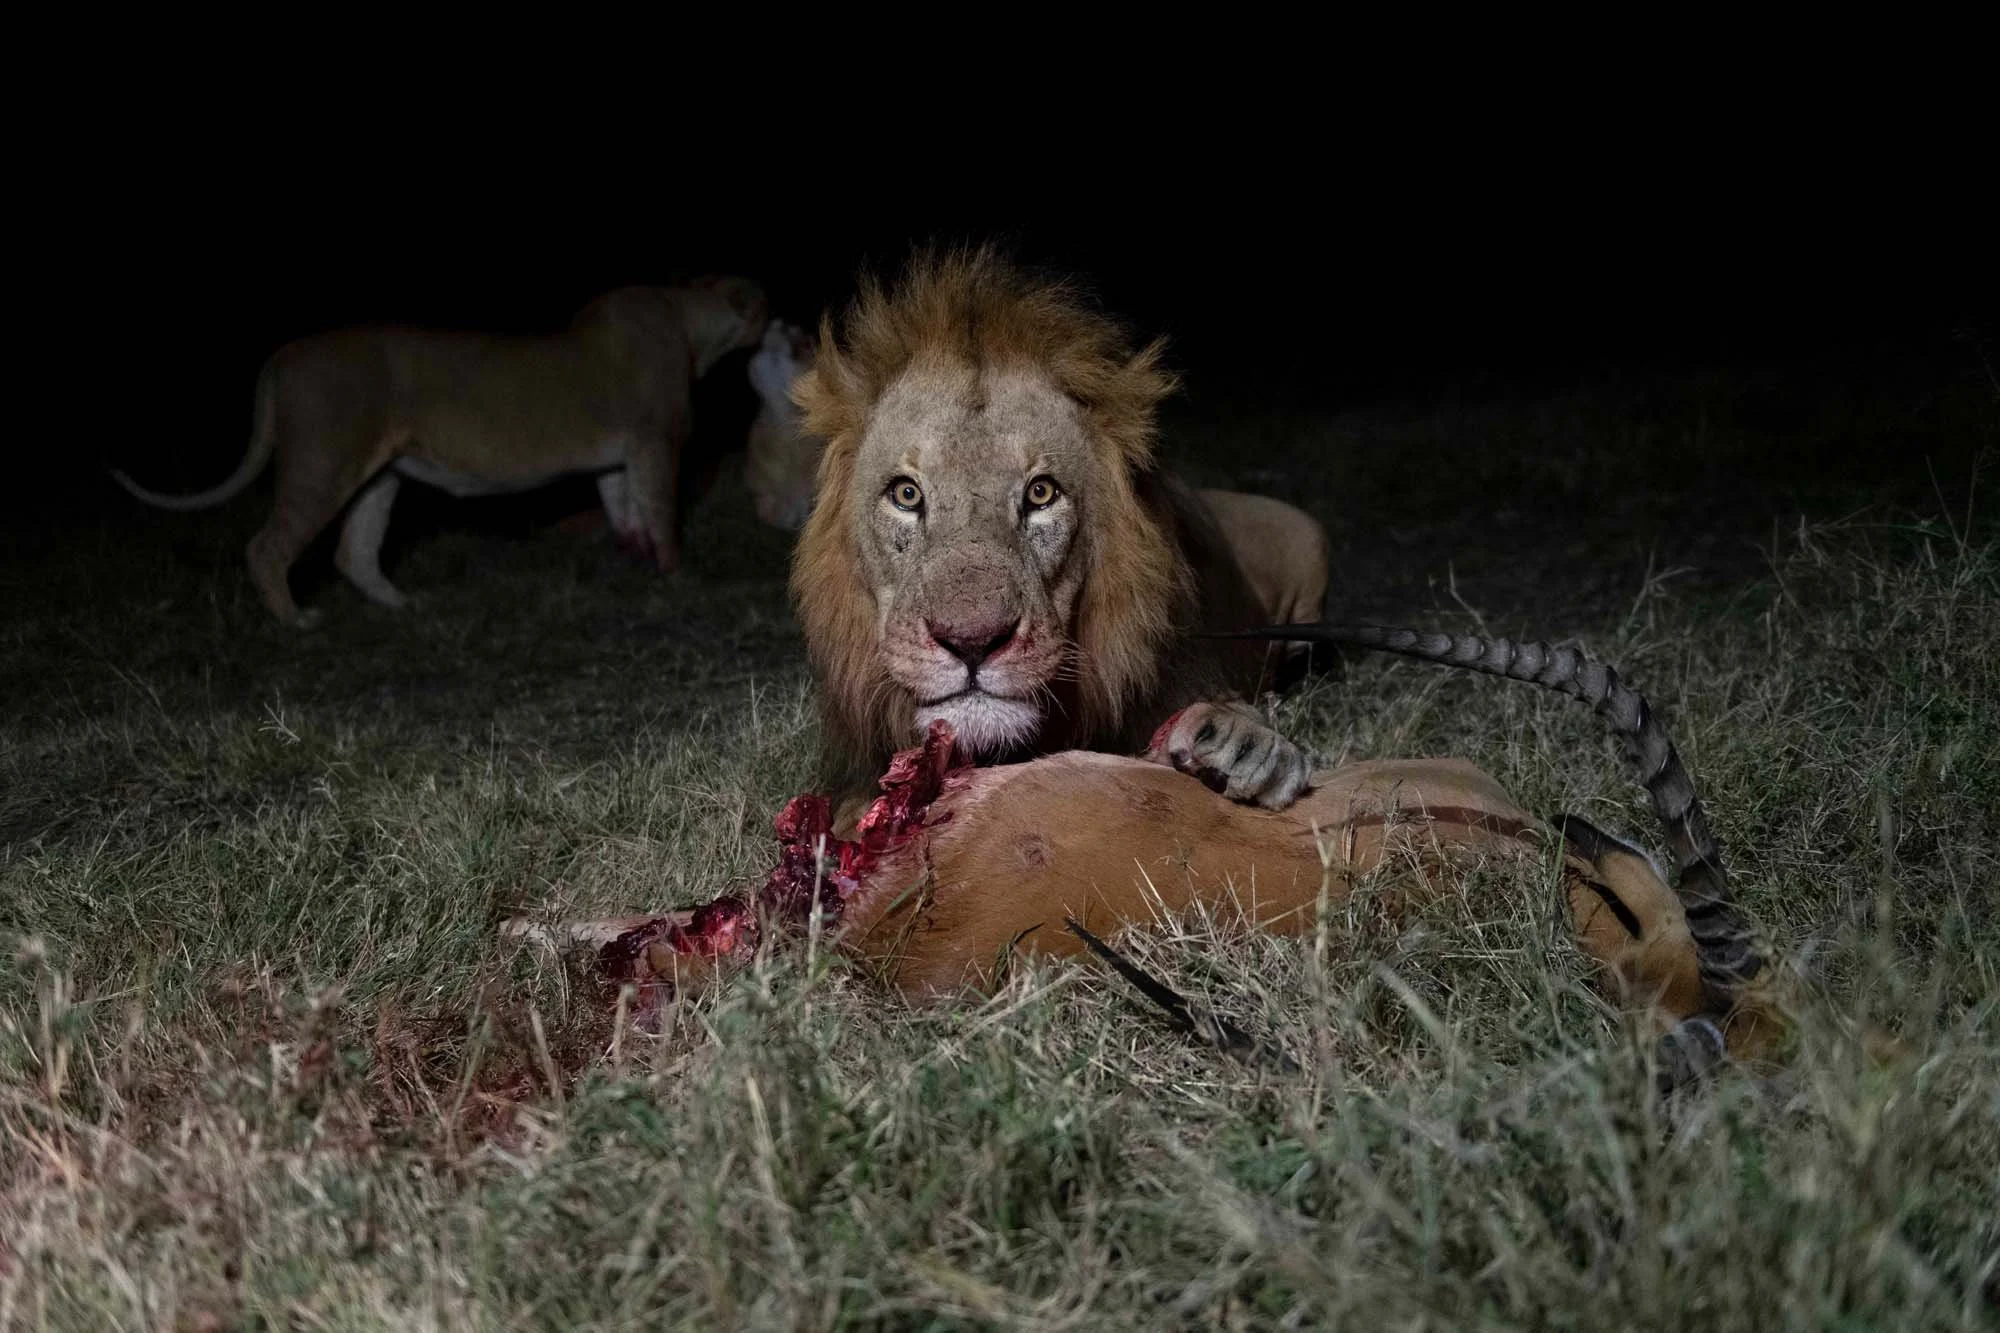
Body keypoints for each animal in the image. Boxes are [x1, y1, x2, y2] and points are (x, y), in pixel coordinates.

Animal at [112, 277, 769, 625]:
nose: (778, 310)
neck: (684, 313)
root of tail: (280, 358)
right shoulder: (656, 439)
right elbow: (660, 509)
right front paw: (678, 574)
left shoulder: (618, 456)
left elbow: (623, 507)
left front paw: (637, 559)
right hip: (324, 459)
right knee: (268, 546)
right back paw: (296, 619)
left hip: (380, 474)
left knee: (354, 552)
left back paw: (404, 604)